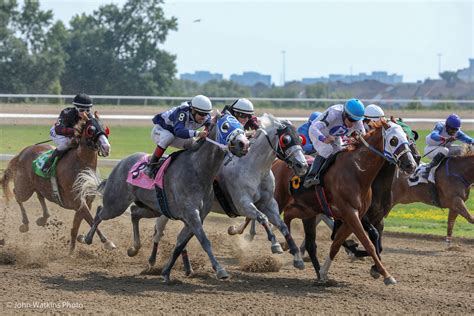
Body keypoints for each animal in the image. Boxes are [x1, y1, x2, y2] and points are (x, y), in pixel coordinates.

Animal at [0, 110, 115, 252]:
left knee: (40, 195)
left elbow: (76, 226)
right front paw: (107, 242)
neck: (80, 163)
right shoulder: (77, 201)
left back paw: (43, 218)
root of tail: (23, 152)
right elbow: (90, 219)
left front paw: (73, 250)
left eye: (105, 128)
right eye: (90, 130)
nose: (106, 147)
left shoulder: (87, 201)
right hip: (25, 188)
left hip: (38, 185)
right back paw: (25, 224)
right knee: (17, 194)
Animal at [74, 113, 250, 282]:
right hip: (116, 204)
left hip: (152, 208)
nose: (244, 144)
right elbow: (204, 240)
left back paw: (134, 248)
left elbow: (180, 244)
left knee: (134, 213)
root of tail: (121, 163)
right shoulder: (191, 214)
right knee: (99, 212)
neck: (198, 170)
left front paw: (166, 272)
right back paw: (87, 239)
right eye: (225, 126)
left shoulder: (197, 216)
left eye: (242, 127)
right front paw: (220, 270)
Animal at [148, 114, 310, 274]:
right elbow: (262, 218)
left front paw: (297, 257)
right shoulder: (243, 204)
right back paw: (152, 260)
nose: (302, 166)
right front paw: (274, 244)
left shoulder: (268, 202)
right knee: (158, 230)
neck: (255, 168)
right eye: (286, 139)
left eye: (300, 138)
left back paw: (187, 267)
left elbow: (282, 225)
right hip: (169, 209)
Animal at [272, 119, 416, 286]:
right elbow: (368, 243)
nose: (411, 165)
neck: (357, 172)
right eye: (393, 140)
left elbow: (336, 244)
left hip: (307, 211)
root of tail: (277, 162)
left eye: (408, 138)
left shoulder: (352, 216)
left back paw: (295, 253)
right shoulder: (351, 214)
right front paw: (387, 275)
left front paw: (323, 273)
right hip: (279, 201)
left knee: (295, 225)